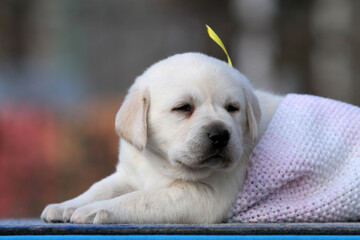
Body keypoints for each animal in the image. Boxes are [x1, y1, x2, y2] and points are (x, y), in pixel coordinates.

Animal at [42, 52, 282, 223]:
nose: (220, 135)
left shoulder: (205, 197)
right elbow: (101, 187)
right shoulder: (130, 174)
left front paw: (96, 210)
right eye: (183, 107)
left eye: (233, 108)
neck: (162, 165)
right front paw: (68, 205)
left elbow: (142, 199)